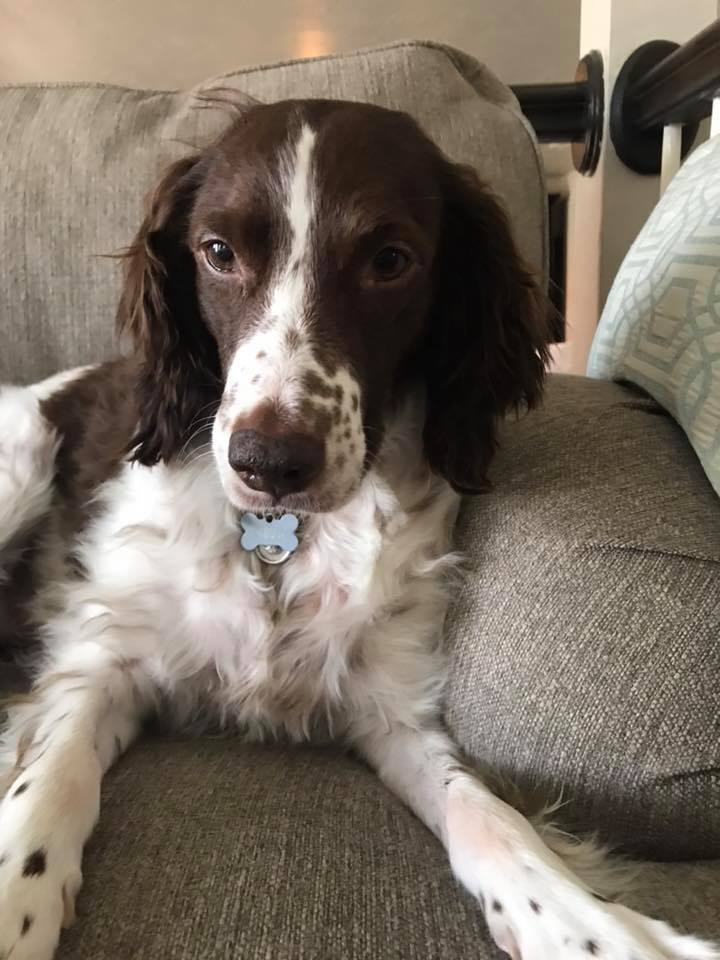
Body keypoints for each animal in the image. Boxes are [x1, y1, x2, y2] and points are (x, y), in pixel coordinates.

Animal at [0, 99, 716, 960]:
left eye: (390, 260)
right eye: (218, 252)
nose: (269, 462)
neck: (280, 537)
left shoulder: (391, 705)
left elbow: (489, 816)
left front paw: (593, 928)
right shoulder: (104, 656)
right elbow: (49, 784)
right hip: (25, 454)